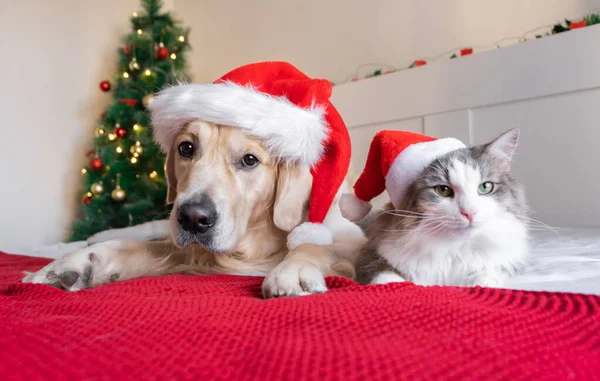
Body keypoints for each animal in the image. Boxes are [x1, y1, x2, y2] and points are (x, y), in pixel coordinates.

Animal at [23, 121, 366, 296]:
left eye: (250, 160)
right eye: (186, 148)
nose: (192, 218)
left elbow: (313, 245)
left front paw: (293, 270)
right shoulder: (187, 246)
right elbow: (129, 246)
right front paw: (75, 264)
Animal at [356, 129, 528, 286]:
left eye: (485, 187)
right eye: (443, 190)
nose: (469, 213)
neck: (453, 249)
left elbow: (486, 277)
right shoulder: (370, 253)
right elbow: (385, 275)